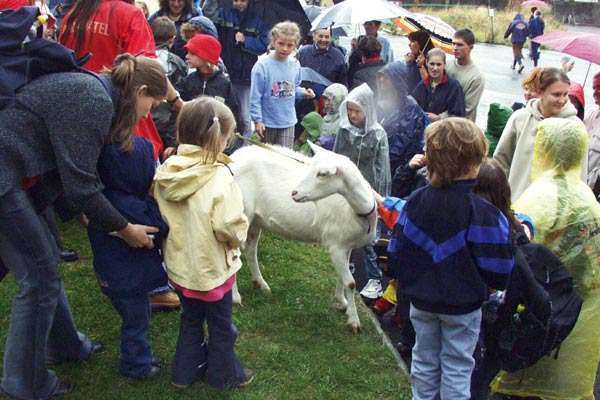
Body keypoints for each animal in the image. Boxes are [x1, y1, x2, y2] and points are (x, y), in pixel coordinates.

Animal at [230, 142, 376, 332]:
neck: (357, 210)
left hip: (255, 219)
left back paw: (260, 284)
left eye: (322, 174)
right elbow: (351, 282)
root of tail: (232, 158)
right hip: (240, 213)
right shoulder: (335, 245)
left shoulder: (347, 244)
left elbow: (342, 276)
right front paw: (354, 321)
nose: (294, 193)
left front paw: (342, 302)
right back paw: (235, 297)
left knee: (250, 250)